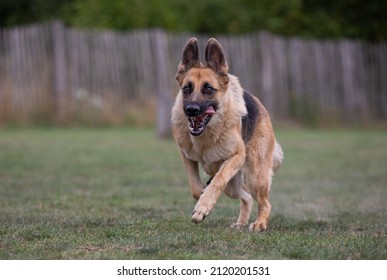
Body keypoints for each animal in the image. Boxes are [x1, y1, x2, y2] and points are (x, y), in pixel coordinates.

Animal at [171, 38, 284, 231]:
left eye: (208, 89)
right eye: (187, 89)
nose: (191, 109)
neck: (207, 134)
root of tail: (261, 106)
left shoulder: (236, 156)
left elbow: (218, 180)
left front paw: (203, 207)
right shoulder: (186, 155)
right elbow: (195, 188)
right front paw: (202, 197)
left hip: (255, 177)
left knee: (265, 202)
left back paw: (259, 223)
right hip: (233, 187)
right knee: (247, 197)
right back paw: (240, 223)